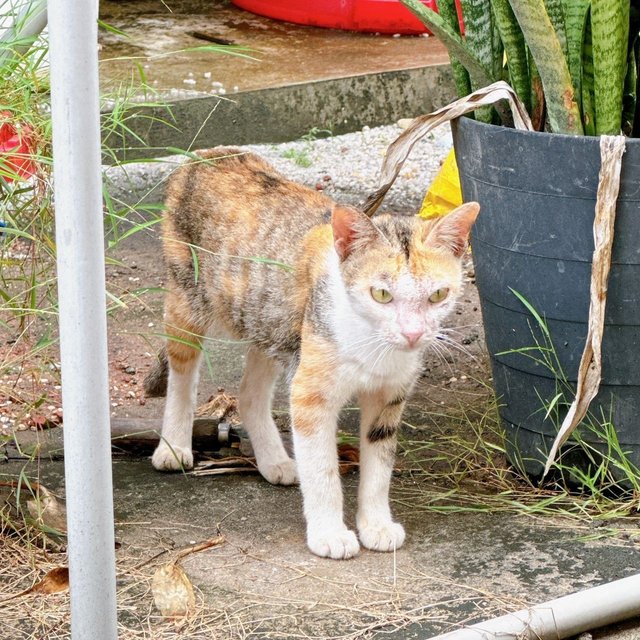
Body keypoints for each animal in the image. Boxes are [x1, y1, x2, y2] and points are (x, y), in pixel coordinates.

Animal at [144, 148, 476, 556]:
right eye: (381, 294)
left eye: (438, 295)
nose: (413, 333)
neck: (374, 346)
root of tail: (210, 153)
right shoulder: (311, 395)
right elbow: (322, 468)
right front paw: (329, 534)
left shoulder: (389, 396)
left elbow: (379, 467)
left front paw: (376, 526)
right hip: (188, 297)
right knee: (183, 372)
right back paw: (174, 446)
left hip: (273, 321)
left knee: (250, 393)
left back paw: (275, 461)